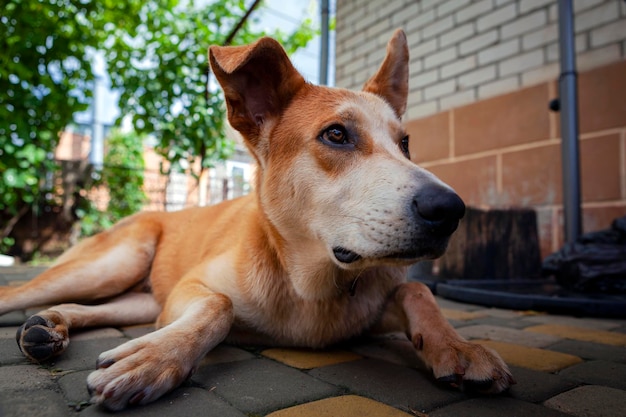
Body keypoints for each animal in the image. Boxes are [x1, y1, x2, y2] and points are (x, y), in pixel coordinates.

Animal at [0, 29, 512, 410]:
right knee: (16, 295)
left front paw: (457, 347)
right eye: (336, 135)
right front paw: (154, 358)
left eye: (405, 144)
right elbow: (219, 306)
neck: (307, 285)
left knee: (92, 307)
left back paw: (49, 326)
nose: (450, 210)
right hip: (115, 263)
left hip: (139, 299)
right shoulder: (192, 287)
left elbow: (417, 290)